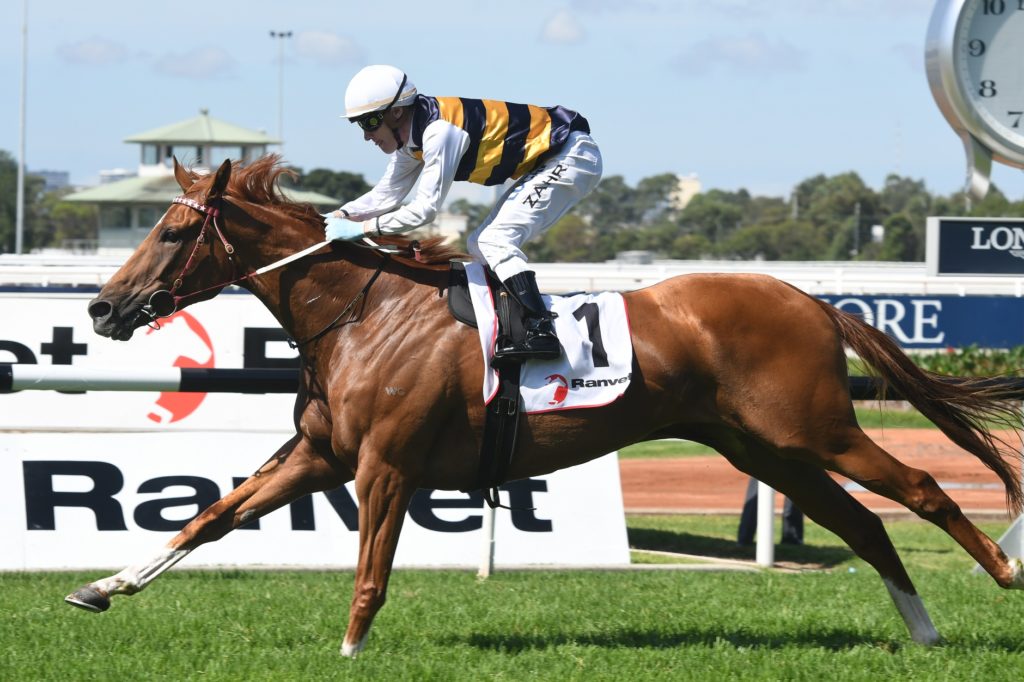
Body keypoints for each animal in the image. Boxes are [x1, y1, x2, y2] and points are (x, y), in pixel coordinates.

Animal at [68, 155, 1024, 656]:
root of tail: (812, 300)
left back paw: (1002, 574)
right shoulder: (321, 455)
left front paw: (348, 651)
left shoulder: (386, 465)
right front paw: (103, 586)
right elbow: (212, 517)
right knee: (862, 524)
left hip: (817, 428)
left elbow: (371, 568)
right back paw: (924, 633)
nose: (103, 309)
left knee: (922, 491)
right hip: (764, 449)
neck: (364, 310)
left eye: (174, 231)